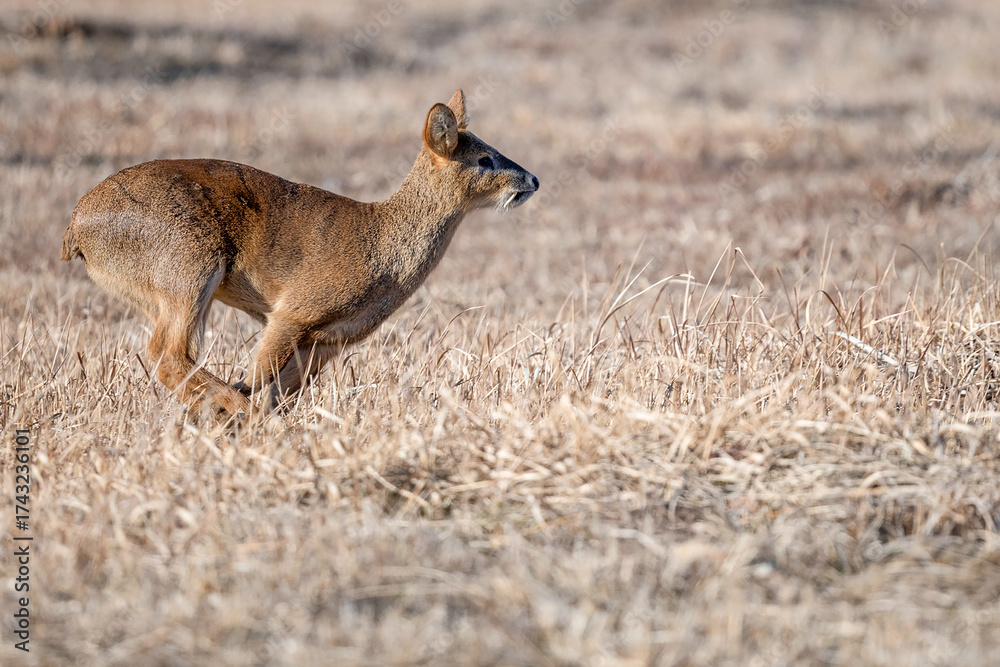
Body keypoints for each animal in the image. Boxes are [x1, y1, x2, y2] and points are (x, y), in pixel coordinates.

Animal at [61, 90, 539, 418]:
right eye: (484, 160)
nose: (532, 179)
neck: (382, 245)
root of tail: (75, 227)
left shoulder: (327, 340)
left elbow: (280, 392)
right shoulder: (292, 312)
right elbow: (261, 380)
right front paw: (250, 420)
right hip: (189, 268)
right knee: (167, 354)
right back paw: (232, 410)